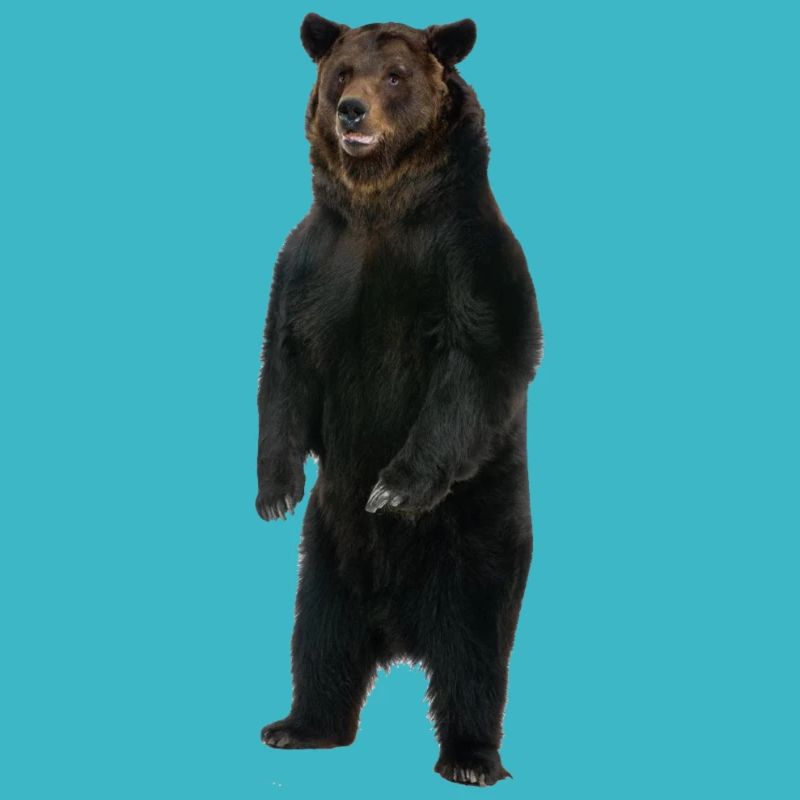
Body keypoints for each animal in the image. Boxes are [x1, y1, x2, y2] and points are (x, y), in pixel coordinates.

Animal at [255, 14, 544, 787]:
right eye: (341, 72)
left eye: (396, 75)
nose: (352, 111)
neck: (381, 205)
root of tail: (400, 630)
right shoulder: (313, 262)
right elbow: (284, 365)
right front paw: (275, 490)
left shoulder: (466, 258)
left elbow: (477, 362)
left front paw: (393, 488)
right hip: (326, 556)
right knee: (319, 638)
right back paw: (299, 725)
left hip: (478, 537)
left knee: (475, 653)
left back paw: (470, 757)